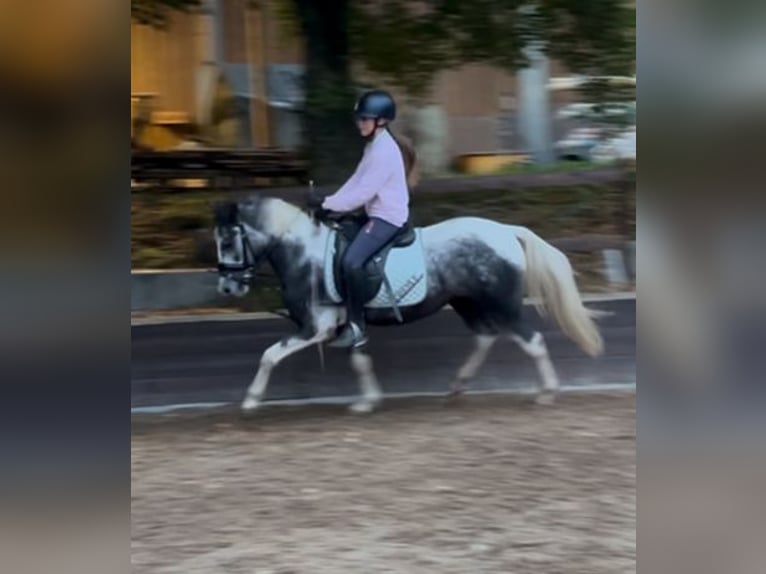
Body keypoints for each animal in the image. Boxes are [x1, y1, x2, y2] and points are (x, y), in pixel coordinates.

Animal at [213, 195, 605, 415]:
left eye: (229, 240)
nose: (228, 286)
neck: (304, 254)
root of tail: (507, 231)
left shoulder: (316, 327)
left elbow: (269, 355)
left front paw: (250, 400)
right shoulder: (346, 325)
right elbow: (359, 359)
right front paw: (368, 400)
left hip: (502, 304)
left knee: (531, 341)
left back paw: (547, 393)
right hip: (466, 302)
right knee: (485, 336)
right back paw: (458, 386)